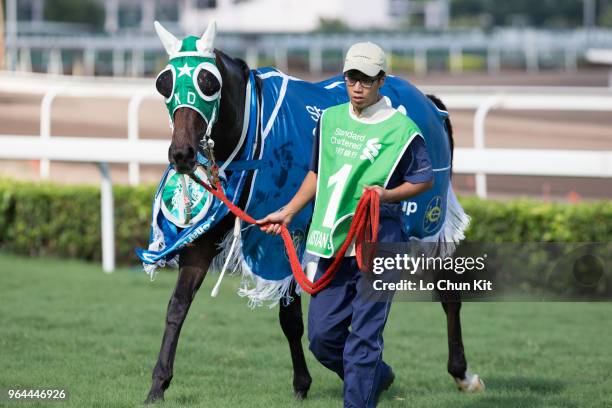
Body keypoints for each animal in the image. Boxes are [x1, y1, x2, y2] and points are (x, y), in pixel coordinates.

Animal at [142, 22, 482, 404]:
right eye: (164, 84)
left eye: (208, 82)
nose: (182, 154)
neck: (250, 135)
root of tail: (431, 103)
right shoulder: (208, 235)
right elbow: (178, 305)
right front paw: (158, 384)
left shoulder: (284, 236)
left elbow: (290, 318)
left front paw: (308, 381)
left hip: (426, 217)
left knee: (446, 288)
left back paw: (462, 372)